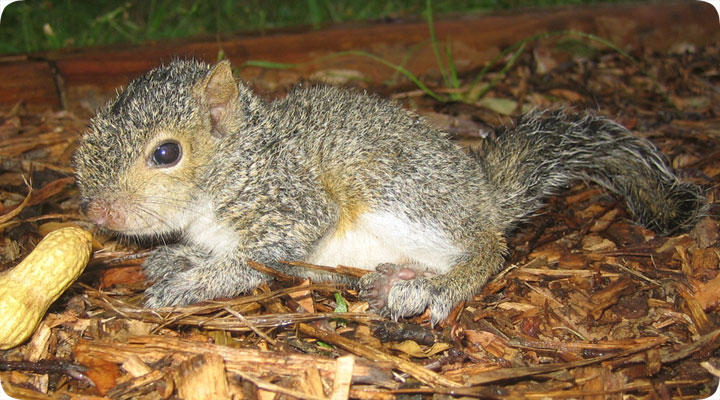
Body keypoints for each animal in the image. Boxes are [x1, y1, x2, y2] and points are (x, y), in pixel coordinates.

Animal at [73, 58, 704, 322]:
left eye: (166, 154)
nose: (97, 211)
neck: (237, 162)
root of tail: (482, 194)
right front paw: (176, 257)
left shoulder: (290, 205)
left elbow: (256, 258)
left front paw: (194, 282)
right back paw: (394, 280)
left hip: (395, 191)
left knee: (488, 249)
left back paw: (433, 289)